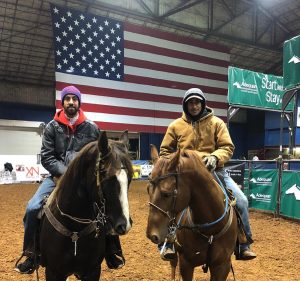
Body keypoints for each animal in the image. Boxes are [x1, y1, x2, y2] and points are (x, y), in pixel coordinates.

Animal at [38, 131, 132, 280]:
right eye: (106, 177)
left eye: (130, 178)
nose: (124, 225)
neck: (75, 231)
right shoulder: (53, 272)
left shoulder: (92, 271)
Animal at [146, 144, 238, 280]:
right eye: (148, 189)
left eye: (166, 193)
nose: (151, 235)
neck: (210, 230)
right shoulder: (186, 264)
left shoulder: (222, 266)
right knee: (173, 265)